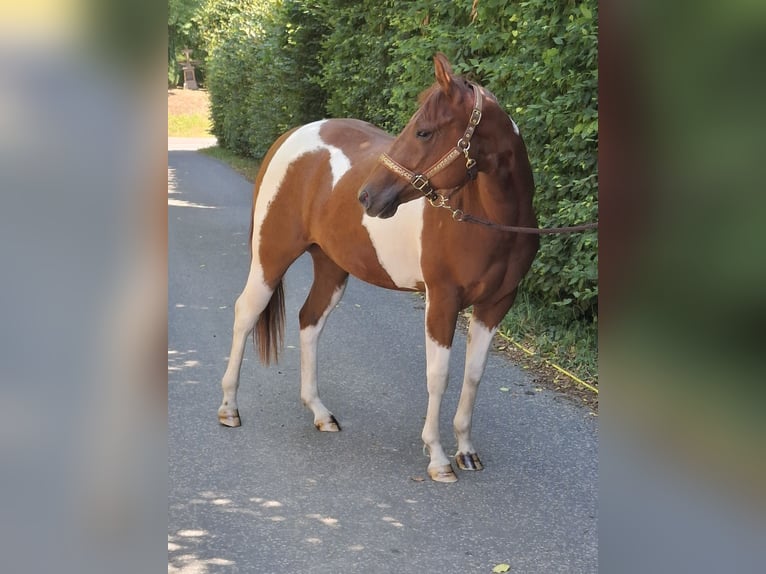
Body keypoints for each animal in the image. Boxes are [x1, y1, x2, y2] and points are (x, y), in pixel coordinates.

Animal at [217, 53, 539, 482]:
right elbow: (439, 376)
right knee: (246, 313)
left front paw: (466, 451)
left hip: (332, 268)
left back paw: (320, 413)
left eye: (424, 132)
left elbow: (474, 375)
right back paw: (229, 408)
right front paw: (438, 457)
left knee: (309, 321)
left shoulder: (496, 304)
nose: (367, 196)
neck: (487, 218)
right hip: (271, 258)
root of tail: (291, 136)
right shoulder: (442, 300)